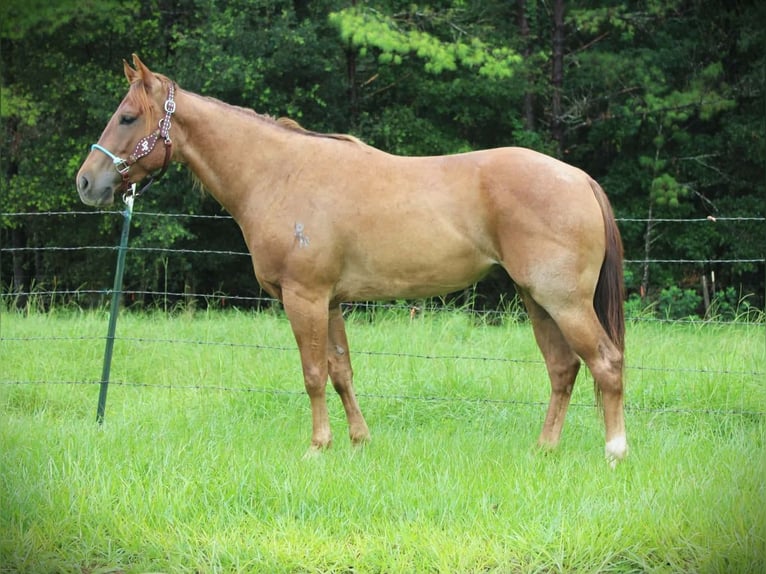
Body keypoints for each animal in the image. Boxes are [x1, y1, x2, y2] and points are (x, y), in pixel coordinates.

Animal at [76, 55, 627, 465]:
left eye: (127, 117)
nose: (86, 182)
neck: (280, 174)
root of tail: (578, 177)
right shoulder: (331, 302)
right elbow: (341, 371)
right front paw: (359, 442)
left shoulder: (304, 298)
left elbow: (313, 374)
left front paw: (318, 447)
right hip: (537, 300)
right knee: (563, 368)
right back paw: (545, 449)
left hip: (564, 302)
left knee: (605, 362)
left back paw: (615, 451)